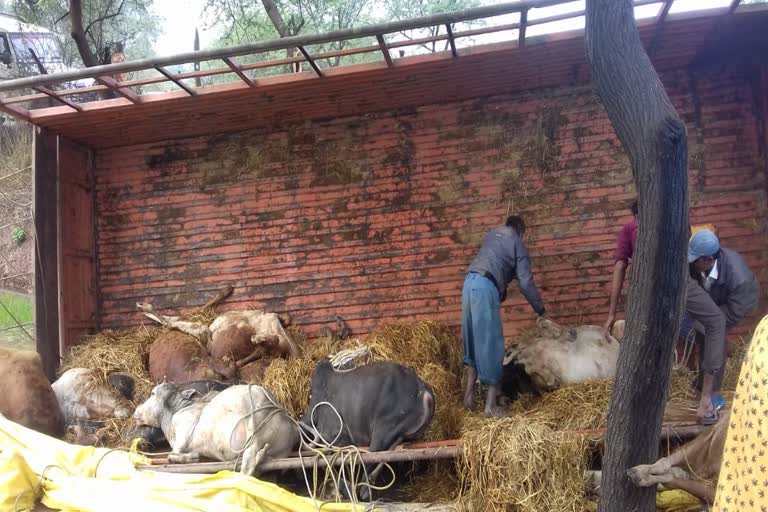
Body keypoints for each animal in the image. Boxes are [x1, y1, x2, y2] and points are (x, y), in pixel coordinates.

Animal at [134, 380, 298, 476]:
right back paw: (260, 457)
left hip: (253, 424)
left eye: (152, 393)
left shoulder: (184, 431)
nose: (136, 410)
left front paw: (192, 457)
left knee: (248, 466)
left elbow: (171, 455)